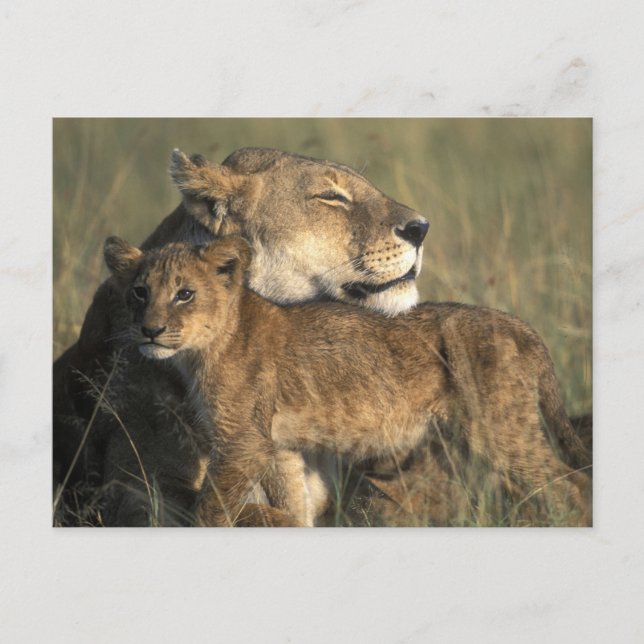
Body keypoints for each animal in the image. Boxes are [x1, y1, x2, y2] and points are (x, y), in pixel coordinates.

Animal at [103, 235, 592, 527]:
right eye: (139, 292)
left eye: (184, 294)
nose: (149, 330)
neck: (203, 350)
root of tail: (521, 325)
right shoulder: (280, 448)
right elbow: (294, 505)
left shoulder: (243, 443)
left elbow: (210, 509)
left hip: (501, 430)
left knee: (567, 486)